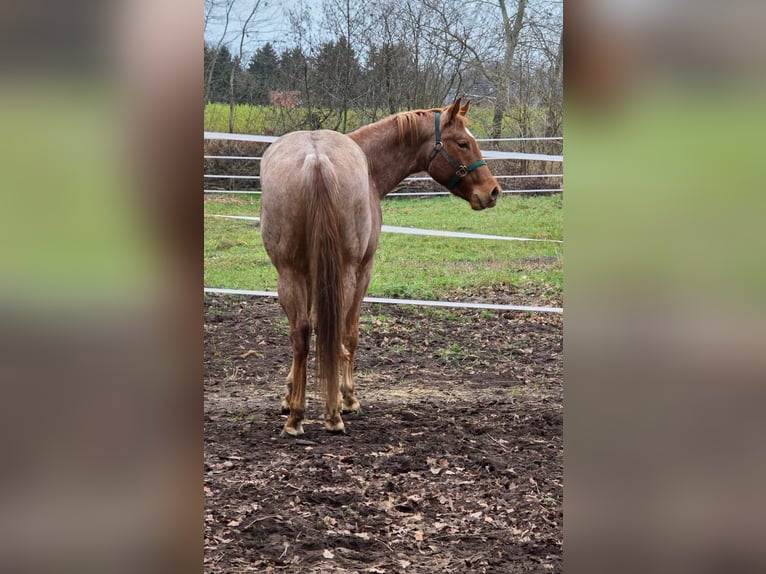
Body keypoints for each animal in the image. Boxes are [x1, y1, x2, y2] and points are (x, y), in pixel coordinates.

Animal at [259, 98, 500, 436]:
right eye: (463, 143)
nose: (492, 191)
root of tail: (316, 160)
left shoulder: (305, 273)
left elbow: (307, 333)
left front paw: (290, 396)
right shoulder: (363, 270)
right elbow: (349, 336)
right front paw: (348, 398)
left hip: (289, 274)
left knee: (301, 333)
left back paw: (296, 417)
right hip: (346, 273)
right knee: (334, 330)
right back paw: (333, 414)